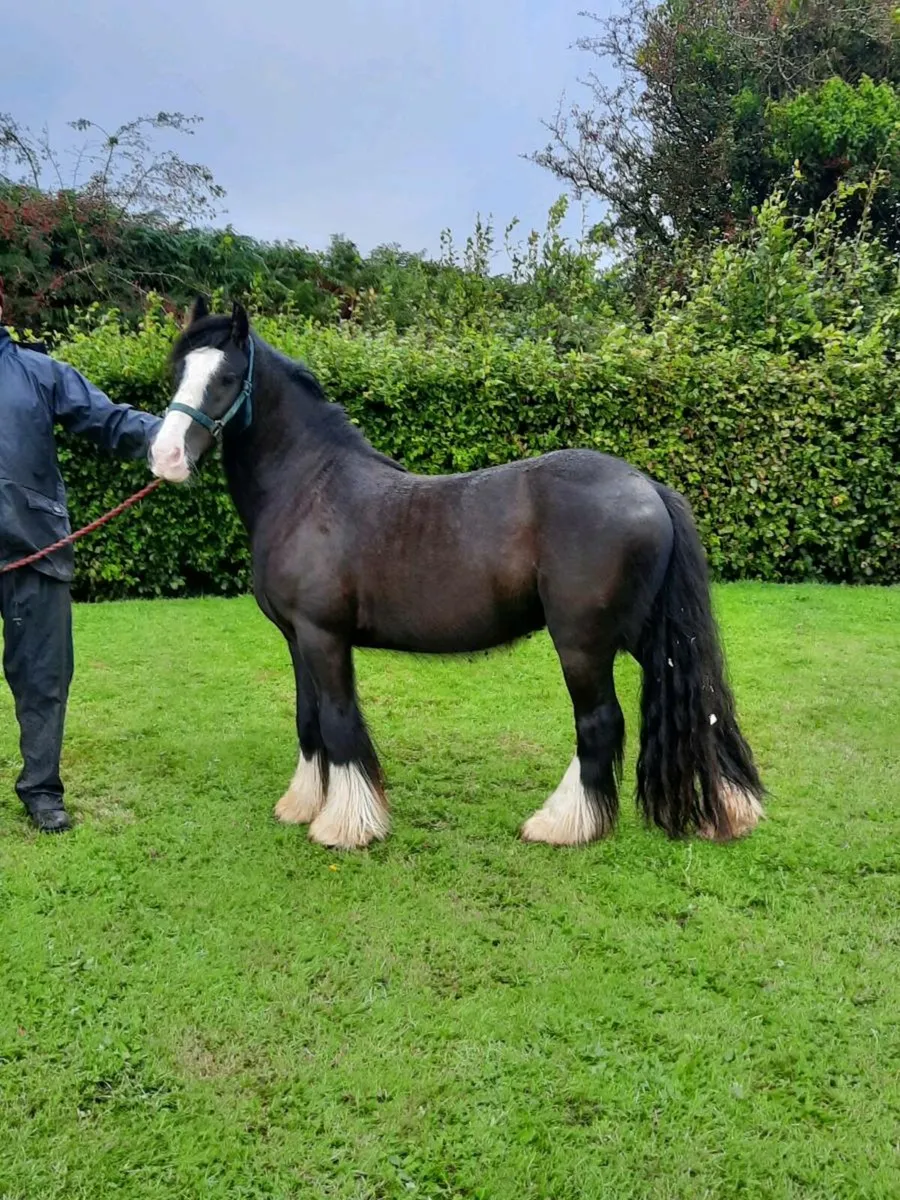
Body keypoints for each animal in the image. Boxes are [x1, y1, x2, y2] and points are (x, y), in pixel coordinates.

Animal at [149, 298, 764, 851]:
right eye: (178, 371)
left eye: (227, 377)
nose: (166, 456)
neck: (309, 488)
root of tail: (647, 485)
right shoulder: (297, 639)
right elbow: (309, 720)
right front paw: (304, 804)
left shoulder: (324, 637)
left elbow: (339, 721)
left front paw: (346, 825)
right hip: (647, 634)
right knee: (699, 709)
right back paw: (730, 810)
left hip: (583, 641)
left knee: (600, 723)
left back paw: (561, 825)